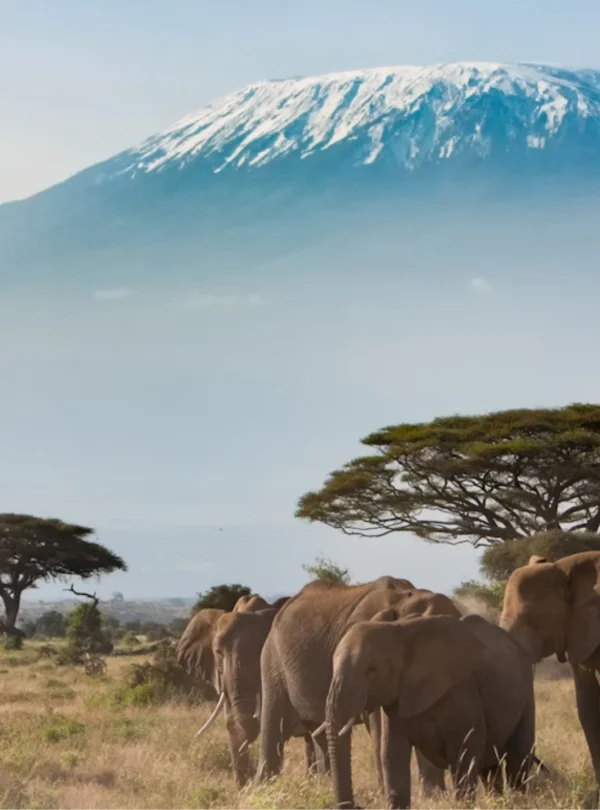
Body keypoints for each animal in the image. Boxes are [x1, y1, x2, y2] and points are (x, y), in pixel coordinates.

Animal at [326, 610, 537, 809]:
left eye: (372, 670)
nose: (358, 805)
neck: (398, 632)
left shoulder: (464, 691)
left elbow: (463, 756)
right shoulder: (396, 698)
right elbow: (392, 755)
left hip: (526, 692)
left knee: (517, 760)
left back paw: (520, 801)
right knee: (490, 769)